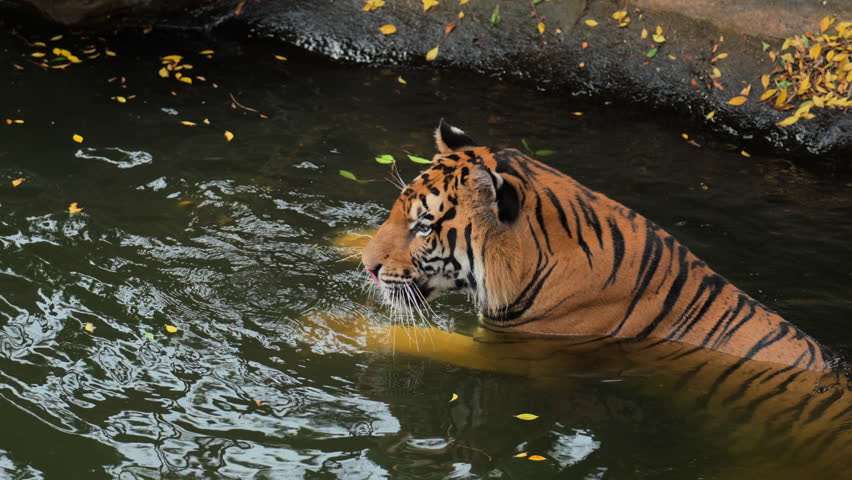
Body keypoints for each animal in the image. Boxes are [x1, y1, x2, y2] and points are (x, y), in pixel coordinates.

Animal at [343, 119, 851, 477]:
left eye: (423, 226)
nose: (369, 267)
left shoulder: (513, 352)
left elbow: (423, 341)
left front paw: (340, 331)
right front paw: (345, 241)